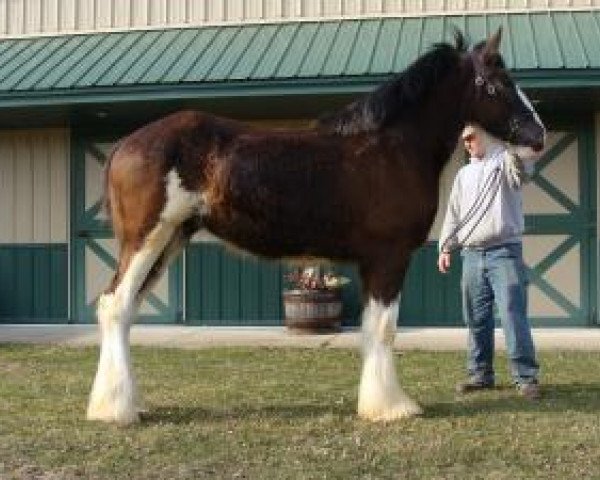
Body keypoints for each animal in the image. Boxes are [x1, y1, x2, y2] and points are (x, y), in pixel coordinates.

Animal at [86, 27, 548, 424]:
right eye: (497, 84)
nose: (538, 136)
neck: (392, 147)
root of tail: (126, 144)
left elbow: (373, 329)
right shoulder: (388, 258)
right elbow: (383, 329)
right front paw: (391, 407)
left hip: (170, 240)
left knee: (125, 310)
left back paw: (126, 404)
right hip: (147, 238)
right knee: (116, 305)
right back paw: (116, 410)